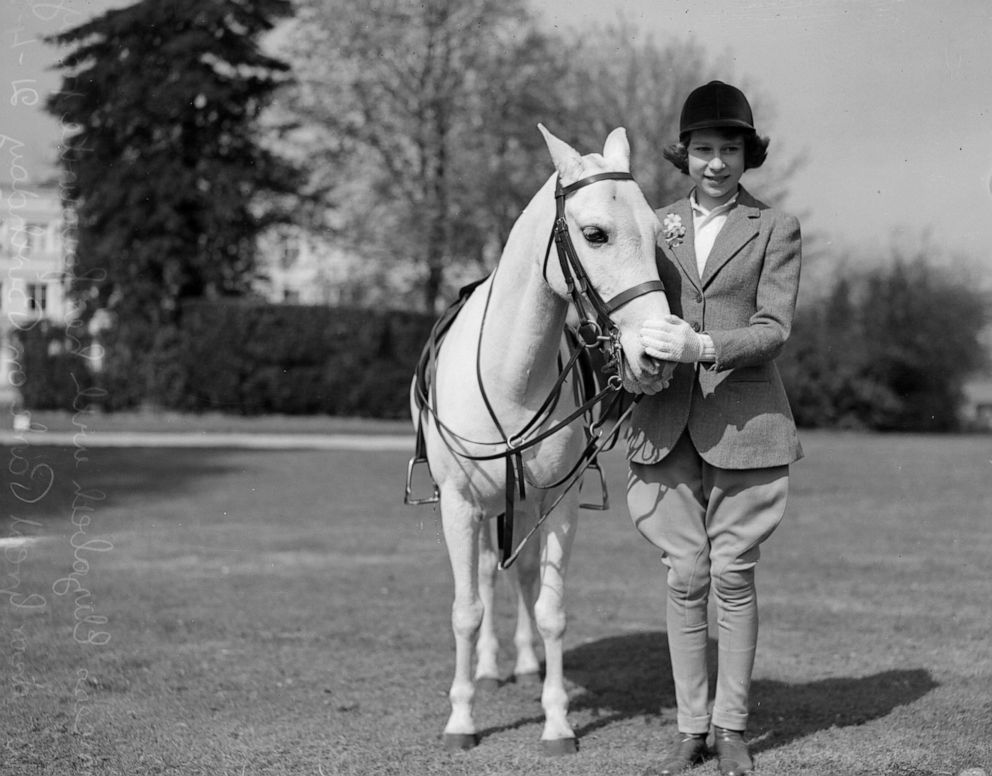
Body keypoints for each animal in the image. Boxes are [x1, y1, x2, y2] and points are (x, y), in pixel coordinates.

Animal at [410, 126, 676, 752]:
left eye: (659, 236)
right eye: (595, 234)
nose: (653, 355)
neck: (511, 378)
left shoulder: (558, 505)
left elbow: (550, 608)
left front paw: (557, 722)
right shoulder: (458, 505)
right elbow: (466, 609)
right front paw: (462, 718)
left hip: (526, 505)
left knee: (523, 576)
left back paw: (526, 664)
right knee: (487, 575)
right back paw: (488, 668)